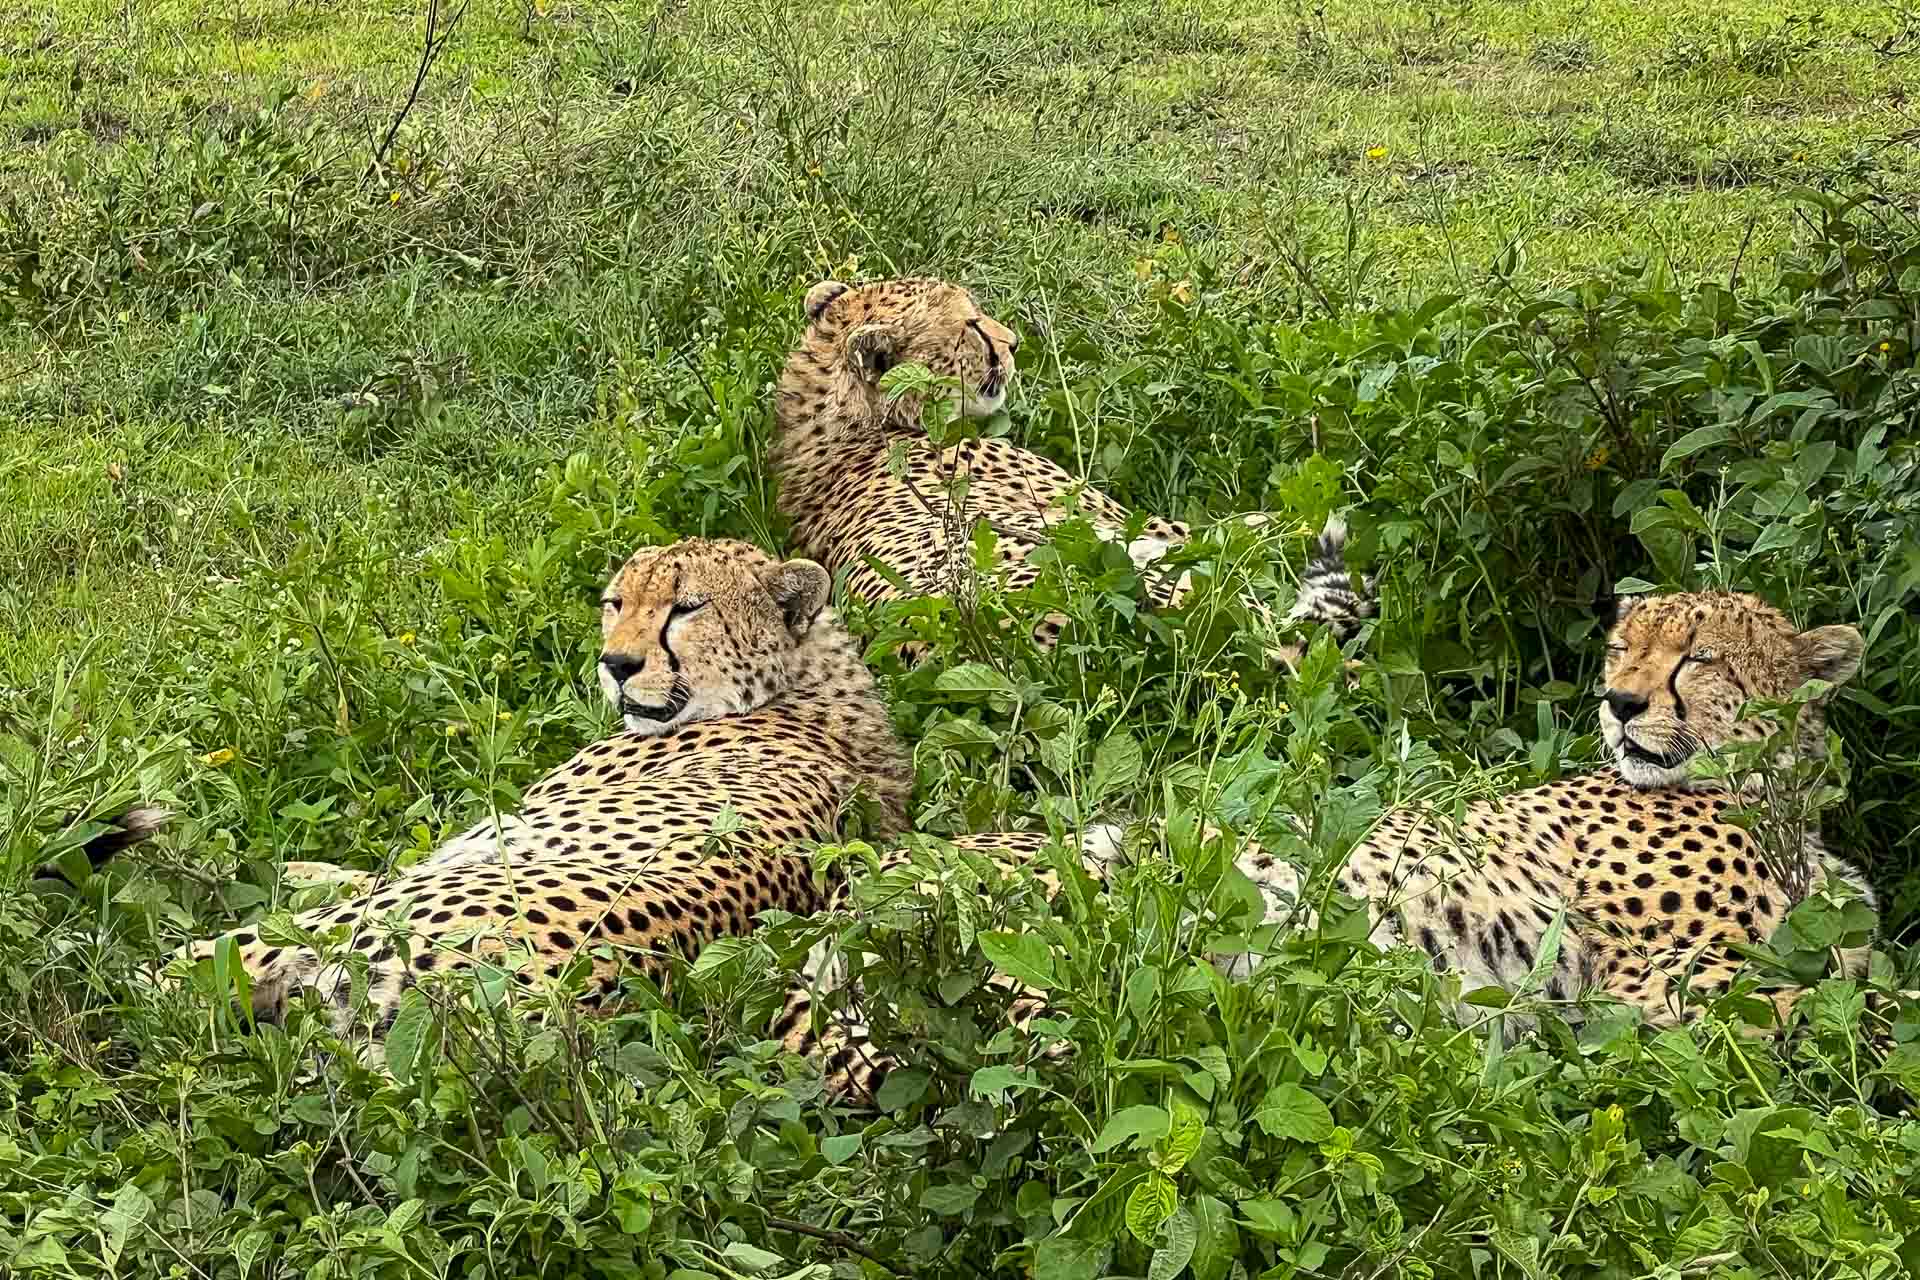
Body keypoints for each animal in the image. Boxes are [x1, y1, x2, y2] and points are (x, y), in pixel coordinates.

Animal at [1213, 594, 1873, 1028]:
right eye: (1622, 650)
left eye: (1699, 657)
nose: (1620, 702)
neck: (1777, 798)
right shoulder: (1655, 983)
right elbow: (1821, 1006)